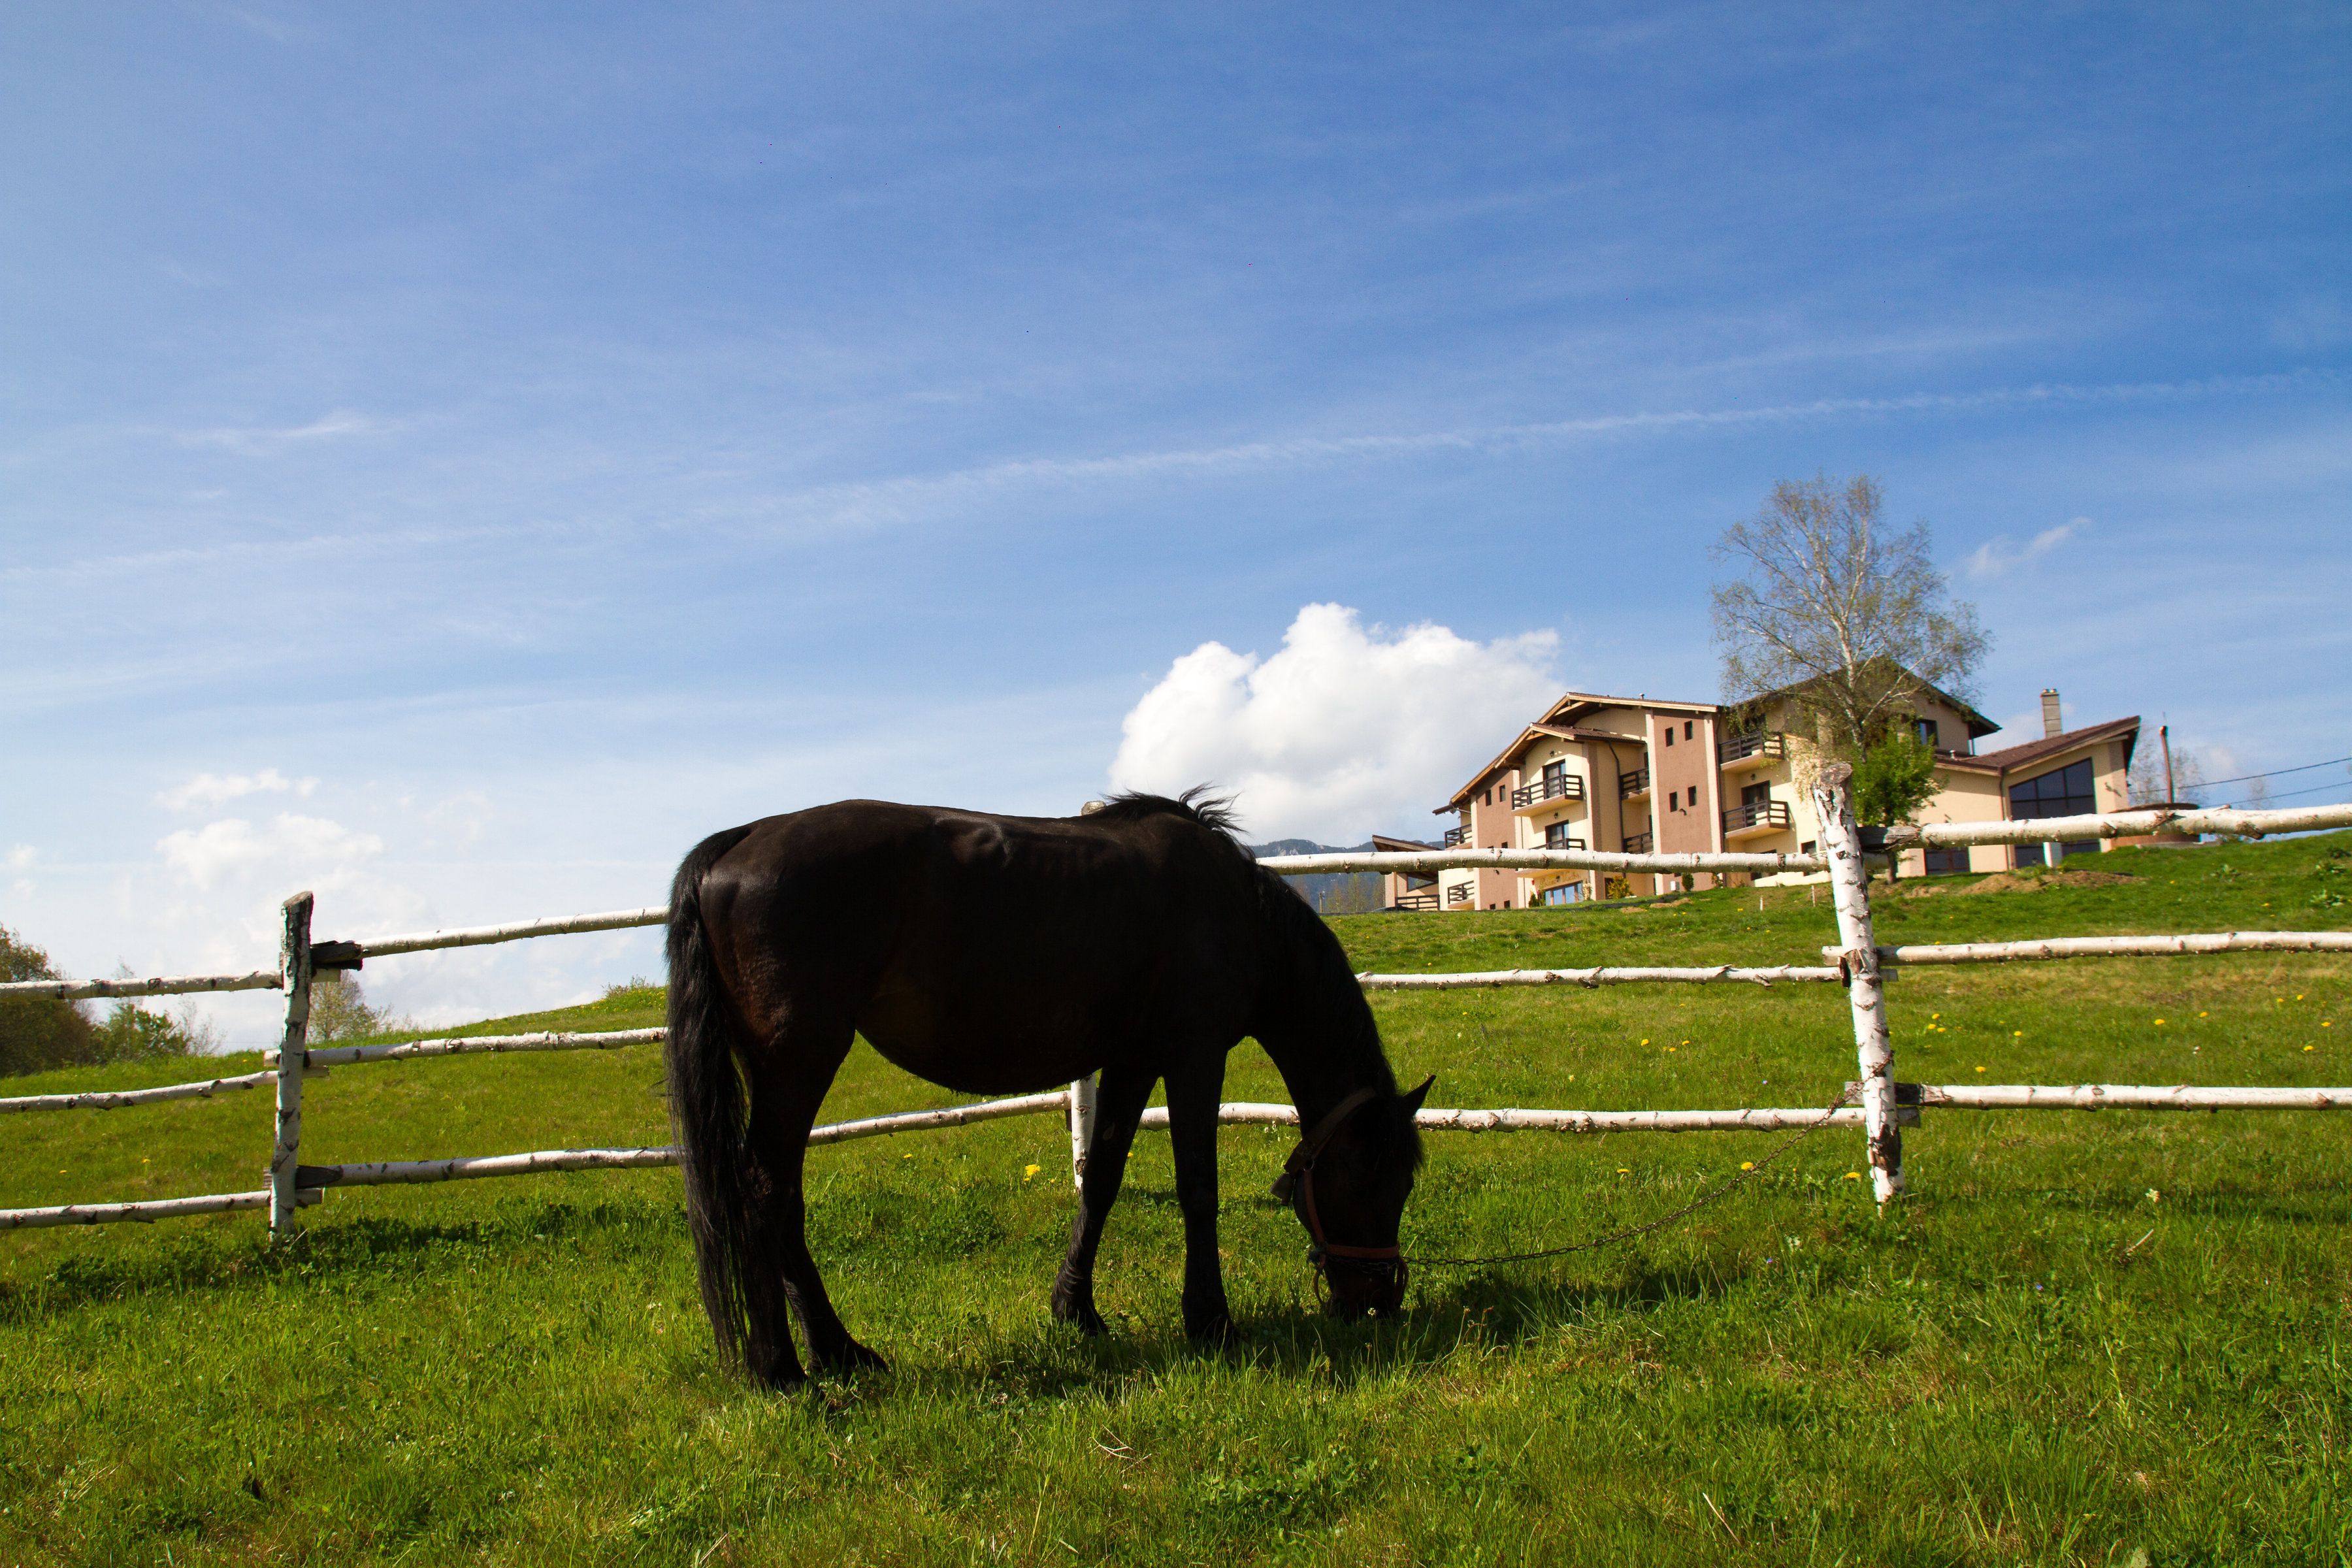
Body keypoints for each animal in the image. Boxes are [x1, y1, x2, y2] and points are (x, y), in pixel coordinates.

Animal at [664, 789, 1432, 1388]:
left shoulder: (1131, 1062)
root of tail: (739, 841)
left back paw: (837, 1352)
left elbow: (1103, 1180)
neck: (1239, 910)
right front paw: (1210, 1321)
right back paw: (785, 1367)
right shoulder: (1193, 1058)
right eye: (1376, 1180)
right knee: (766, 1193)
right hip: (798, 1065)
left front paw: (1076, 1310)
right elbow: (1197, 1188)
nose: (1379, 1300)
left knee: (776, 1198)